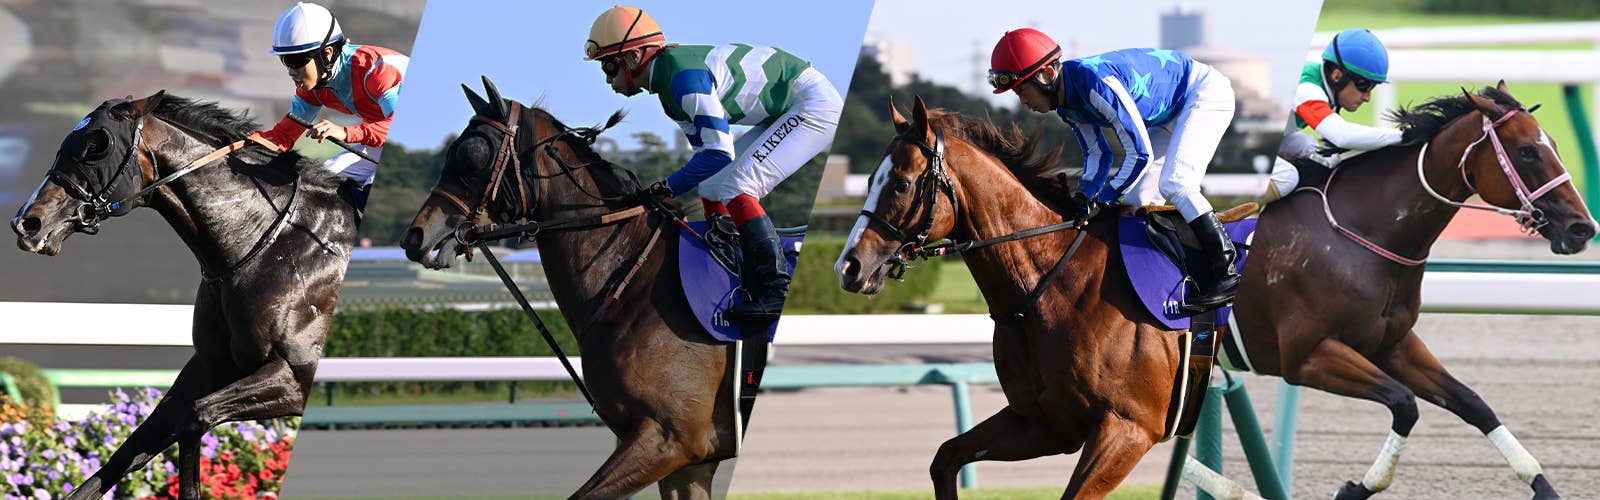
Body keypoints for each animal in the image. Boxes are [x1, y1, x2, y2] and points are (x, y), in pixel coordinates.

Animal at [11, 91, 357, 499]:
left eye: (96, 146)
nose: (27, 223)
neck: (268, 244)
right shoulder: (210, 364)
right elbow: (134, 445)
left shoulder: (296, 376)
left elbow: (194, 416)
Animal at [836, 95, 1210, 499]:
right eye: (870, 181)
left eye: (902, 184)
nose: (848, 266)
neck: (1052, 286)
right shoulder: (1042, 423)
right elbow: (945, 458)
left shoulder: (1131, 428)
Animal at [1229, 82, 1592, 499]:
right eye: (1527, 151)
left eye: (1553, 143)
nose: (1583, 228)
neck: (1356, 235)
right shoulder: (1306, 357)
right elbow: (1404, 403)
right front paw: (1355, 488)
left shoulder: (1393, 344)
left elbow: (1473, 403)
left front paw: (1542, 485)